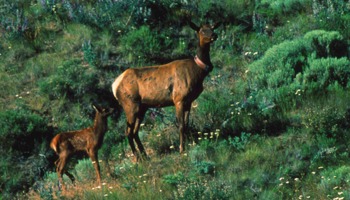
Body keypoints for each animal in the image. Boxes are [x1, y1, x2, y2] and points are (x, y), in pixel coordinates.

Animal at [112, 20, 220, 159]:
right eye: (201, 30)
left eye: (212, 28)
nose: (214, 35)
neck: (198, 72)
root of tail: (114, 86)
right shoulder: (178, 99)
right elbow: (181, 125)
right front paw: (182, 149)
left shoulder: (189, 101)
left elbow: (187, 124)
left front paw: (188, 146)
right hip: (130, 104)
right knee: (128, 132)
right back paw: (137, 158)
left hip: (142, 107)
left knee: (135, 131)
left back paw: (145, 156)